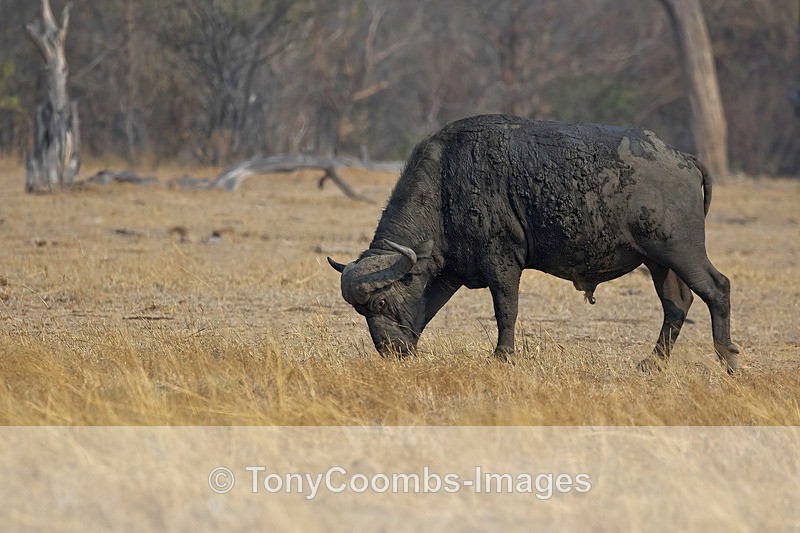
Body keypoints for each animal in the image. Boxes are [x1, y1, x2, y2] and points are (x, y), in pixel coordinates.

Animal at [327, 114, 740, 373]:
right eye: (360, 311)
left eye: (381, 302)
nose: (389, 351)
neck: (447, 183)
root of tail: (682, 158)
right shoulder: (450, 274)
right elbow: (426, 310)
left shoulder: (503, 262)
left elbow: (505, 311)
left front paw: (502, 357)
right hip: (658, 261)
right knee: (678, 303)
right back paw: (651, 363)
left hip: (680, 250)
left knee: (717, 288)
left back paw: (728, 358)